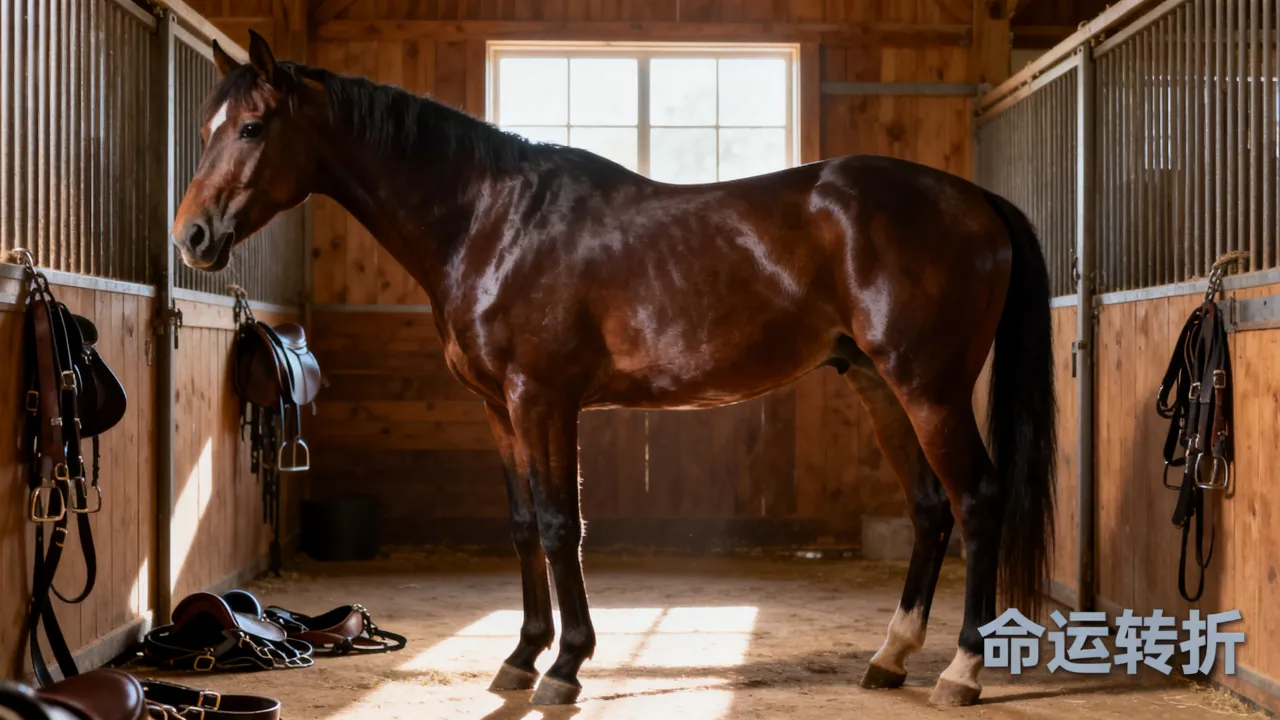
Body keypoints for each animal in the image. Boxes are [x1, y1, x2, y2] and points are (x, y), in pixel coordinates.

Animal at [173, 30, 1055, 707]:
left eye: (252, 127)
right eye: (210, 125)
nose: (192, 237)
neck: (493, 222)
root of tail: (976, 200)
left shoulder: (543, 400)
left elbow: (562, 525)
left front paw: (565, 666)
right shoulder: (498, 408)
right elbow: (523, 525)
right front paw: (521, 657)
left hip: (929, 389)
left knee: (977, 500)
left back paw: (961, 672)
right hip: (880, 384)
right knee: (930, 507)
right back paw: (891, 657)